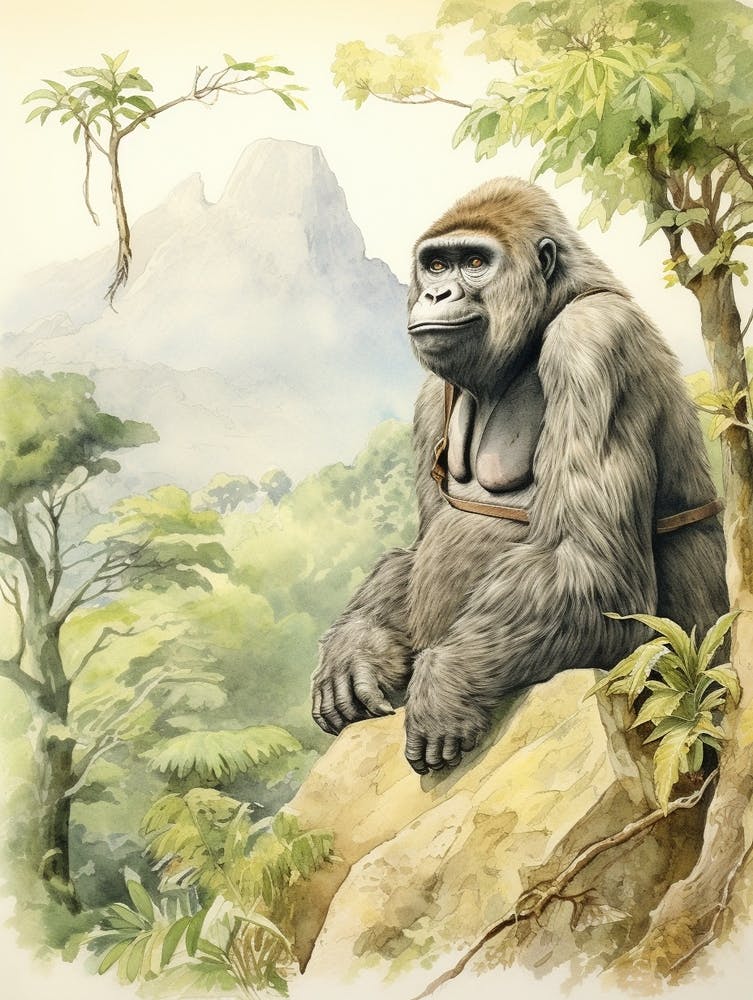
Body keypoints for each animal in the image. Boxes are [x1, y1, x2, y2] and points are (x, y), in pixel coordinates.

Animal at [311, 177, 727, 775]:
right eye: (436, 265)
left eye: (474, 263)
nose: (436, 295)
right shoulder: (428, 399)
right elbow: (416, 552)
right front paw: (357, 644)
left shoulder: (593, 344)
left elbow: (591, 566)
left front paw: (448, 681)